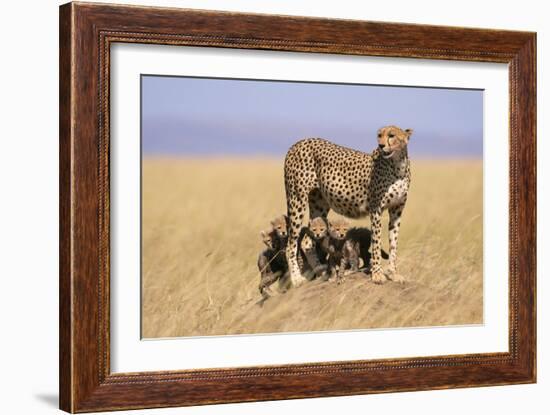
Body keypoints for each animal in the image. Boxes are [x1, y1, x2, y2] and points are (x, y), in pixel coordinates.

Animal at [286, 126, 412, 286]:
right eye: (379, 135)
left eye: (391, 135)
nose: (381, 145)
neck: (397, 165)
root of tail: (299, 142)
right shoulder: (376, 209)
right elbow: (376, 242)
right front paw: (377, 274)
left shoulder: (397, 210)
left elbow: (394, 243)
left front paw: (393, 274)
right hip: (296, 199)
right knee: (291, 244)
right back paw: (297, 279)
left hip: (319, 204)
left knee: (307, 241)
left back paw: (321, 272)